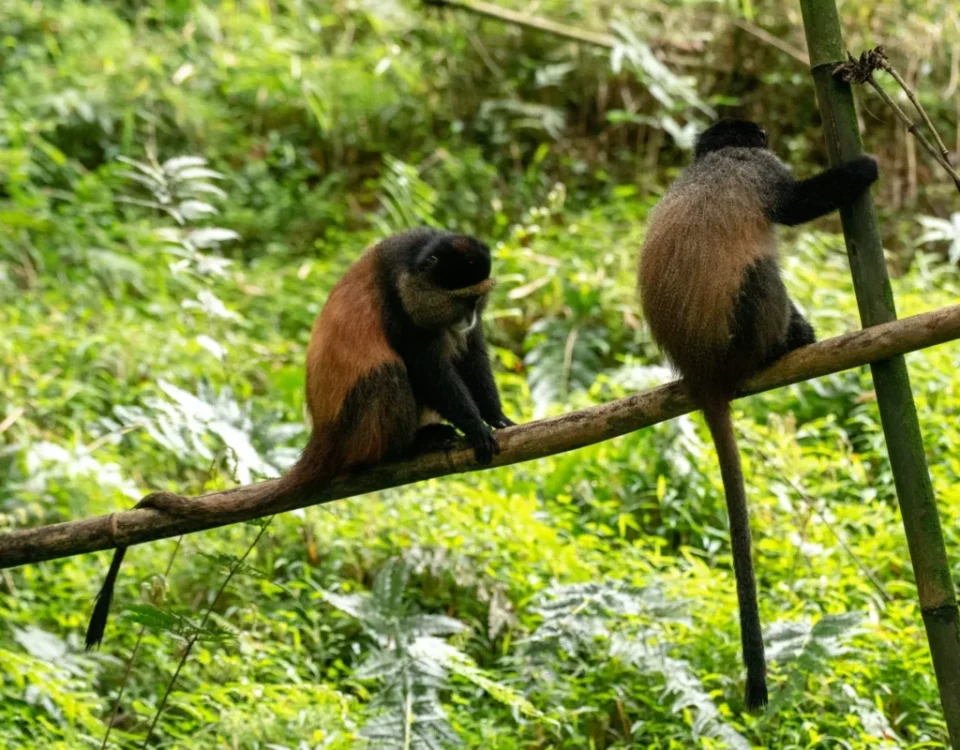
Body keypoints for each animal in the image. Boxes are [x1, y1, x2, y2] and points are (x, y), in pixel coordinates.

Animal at [86, 227, 515, 649]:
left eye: (478, 299)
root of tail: (323, 434)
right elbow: (427, 367)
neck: (413, 266)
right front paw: (474, 426)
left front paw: (497, 418)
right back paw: (407, 448)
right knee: (387, 373)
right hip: (360, 423)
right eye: (461, 299)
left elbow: (471, 352)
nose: (470, 317)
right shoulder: (403, 313)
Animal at [638, 120, 878, 710]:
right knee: (761, 270)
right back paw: (789, 343)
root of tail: (700, 370)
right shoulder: (760, 168)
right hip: (743, 336)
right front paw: (864, 169)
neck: (714, 159)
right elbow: (793, 206)